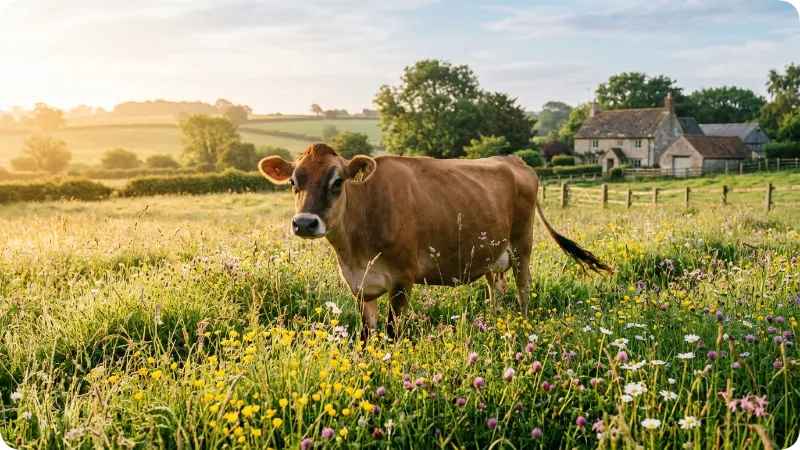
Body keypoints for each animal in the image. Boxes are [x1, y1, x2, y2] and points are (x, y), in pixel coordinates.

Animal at [259, 143, 612, 341]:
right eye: (293, 182)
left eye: (337, 182)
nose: (305, 223)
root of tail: (515, 160)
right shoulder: (360, 285)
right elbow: (366, 335)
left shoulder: (402, 278)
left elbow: (391, 334)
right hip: (492, 252)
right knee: (496, 287)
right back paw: (493, 322)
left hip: (522, 243)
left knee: (524, 287)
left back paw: (523, 325)